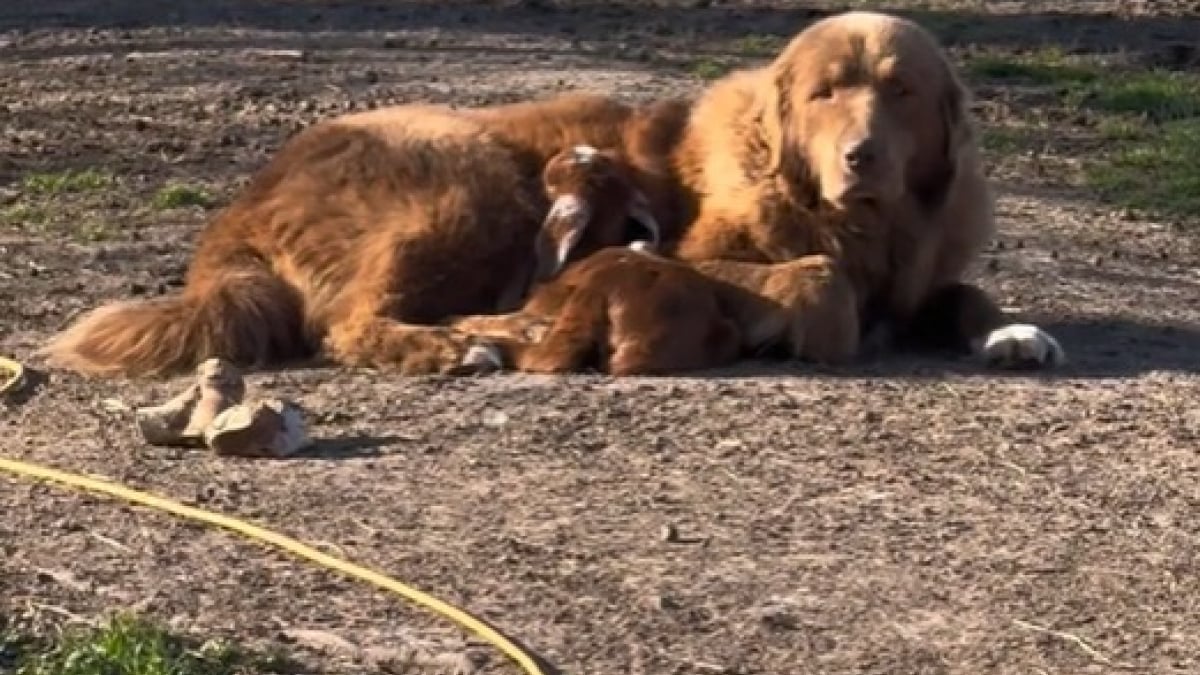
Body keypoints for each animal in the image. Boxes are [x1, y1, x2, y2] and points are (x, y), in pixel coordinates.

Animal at [42, 10, 1065, 374]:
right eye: (825, 93)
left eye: (900, 92)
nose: (860, 156)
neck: (868, 227)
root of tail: (240, 206)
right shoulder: (705, 254)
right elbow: (819, 277)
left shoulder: (925, 262)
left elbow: (965, 291)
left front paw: (1012, 332)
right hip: (468, 182)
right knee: (348, 324)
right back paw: (456, 348)